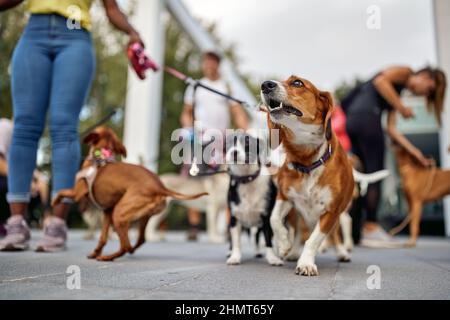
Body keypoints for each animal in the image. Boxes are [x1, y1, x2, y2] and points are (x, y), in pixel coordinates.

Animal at [52, 126, 207, 262]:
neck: (101, 156)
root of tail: (160, 187)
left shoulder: (77, 193)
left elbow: (62, 191)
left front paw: (55, 201)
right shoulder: (107, 213)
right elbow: (102, 237)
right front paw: (95, 252)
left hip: (119, 214)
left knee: (125, 246)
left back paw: (107, 257)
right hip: (141, 217)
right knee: (138, 241)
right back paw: (120, 252)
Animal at [227, 131, 284, 266]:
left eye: (247, 142)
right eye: (228, 143)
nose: (234, 152)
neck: (246, 179)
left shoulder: (266, 217)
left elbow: (268, 240)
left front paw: (272, 258)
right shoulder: (234, 218)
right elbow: (236, 240)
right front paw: (235, 256)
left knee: (257, 236)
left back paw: (258, 252)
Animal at [260, 76, 356, 276]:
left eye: (297, 83)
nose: (265, 84)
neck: (307, 160)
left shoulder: (331, 211)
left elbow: (314, 239)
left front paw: (306, 263)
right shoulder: (284, 196)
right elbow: (274, 219)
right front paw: (284, 244)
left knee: (333, 235)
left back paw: (342, 252)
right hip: (296, 213)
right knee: (298, 231)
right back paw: (293, 250)